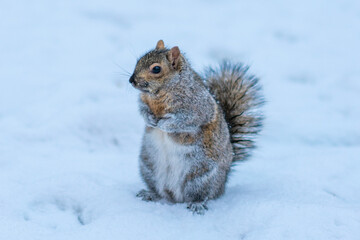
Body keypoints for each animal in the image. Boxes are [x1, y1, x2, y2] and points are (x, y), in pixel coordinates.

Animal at [128, 40, 262, 215]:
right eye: (139, 61)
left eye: (156, 69)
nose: (131, 80)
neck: (159, 93)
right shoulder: (144, 100)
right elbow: (143, 108)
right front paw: (149, 119)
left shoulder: (197, 107)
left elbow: (184, 120)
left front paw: (164, 124)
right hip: (148, 169)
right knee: (160, 192)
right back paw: (151, 194)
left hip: (200, 177)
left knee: (200, 194)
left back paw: (197, 204)